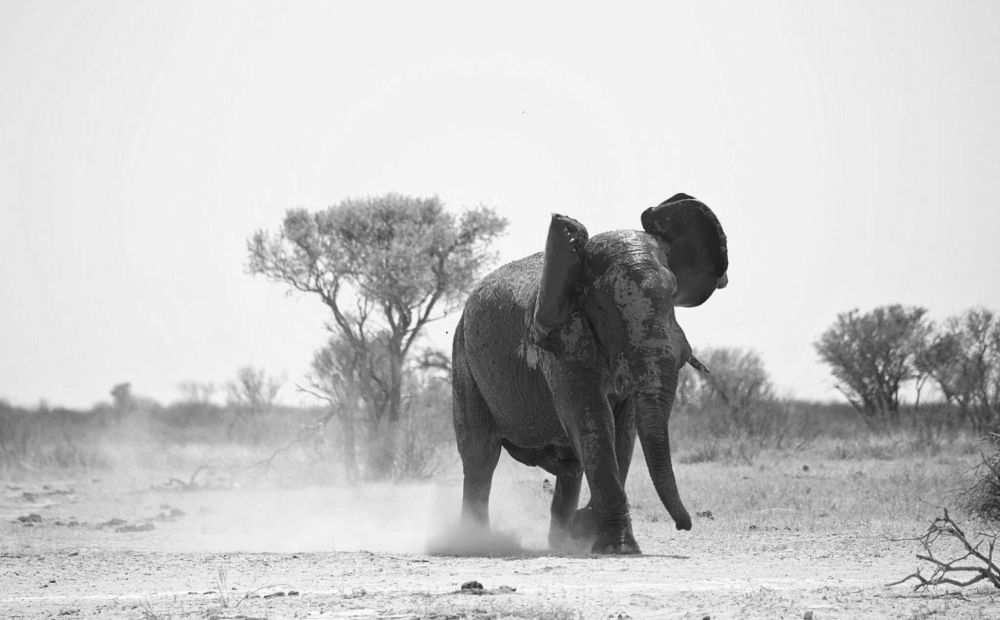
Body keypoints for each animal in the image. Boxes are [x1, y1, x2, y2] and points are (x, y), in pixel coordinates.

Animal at [452, 193, 728, 552]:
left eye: (672, 292)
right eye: (601, 307)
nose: (685, 525)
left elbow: (623, 431)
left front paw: (603, 537)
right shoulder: (561, 345)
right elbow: (593, 420)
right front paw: (615, 547)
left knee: (569, 467)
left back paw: (561, 544)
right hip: (463, 359)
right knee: (480, 457)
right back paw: (475, 542)